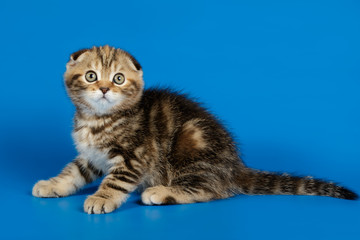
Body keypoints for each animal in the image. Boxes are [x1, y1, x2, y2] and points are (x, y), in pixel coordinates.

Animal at [31, 46, 358, 215]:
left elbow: (116, 181)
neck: (98, 120)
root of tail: (234, 166)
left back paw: (161, 192)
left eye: (119, 79)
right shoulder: (91, 156)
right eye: (91, 75)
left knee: (211, 190)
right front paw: (53, 184)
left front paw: (101, 198)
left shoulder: (134, 156)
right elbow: (73, 172)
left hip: (191, 145)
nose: (103, 88)